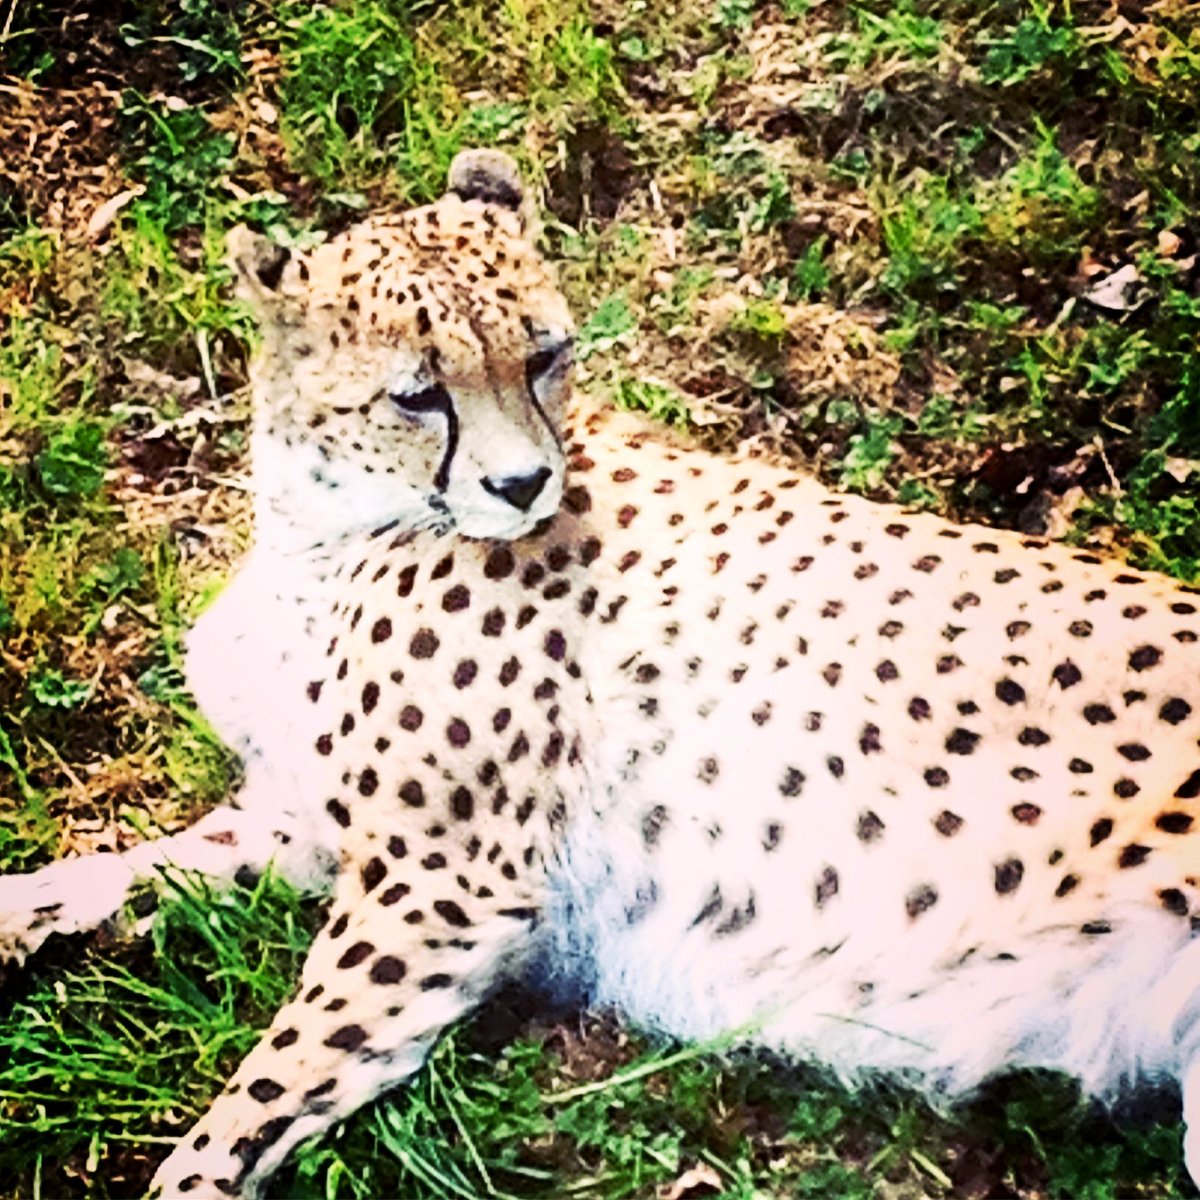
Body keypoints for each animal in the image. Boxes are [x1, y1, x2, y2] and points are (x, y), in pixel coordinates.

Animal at [2, 148, 1200, 1198]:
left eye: (543, 355)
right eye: (416, 395)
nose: (523, 483)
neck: (323, 531)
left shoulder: (442, 882)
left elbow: (262, 1089)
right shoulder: (310, 823)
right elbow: (126, 868)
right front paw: (24, 912)